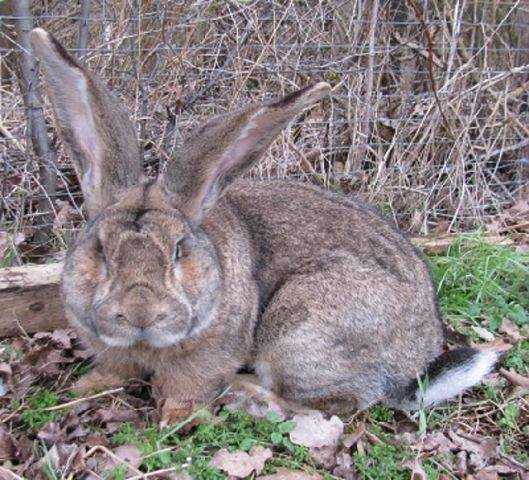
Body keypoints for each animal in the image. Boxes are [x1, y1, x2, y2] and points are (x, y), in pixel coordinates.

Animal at [28, 27, 500, 424]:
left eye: (179, 250)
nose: (141, 312)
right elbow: (114, 369)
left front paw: (175, 416)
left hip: (298, 331)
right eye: (100, 250)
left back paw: (248, 395)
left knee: (336, 405)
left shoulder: (211, 356)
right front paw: (86, 387)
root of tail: (413, 366)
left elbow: (190, 387)